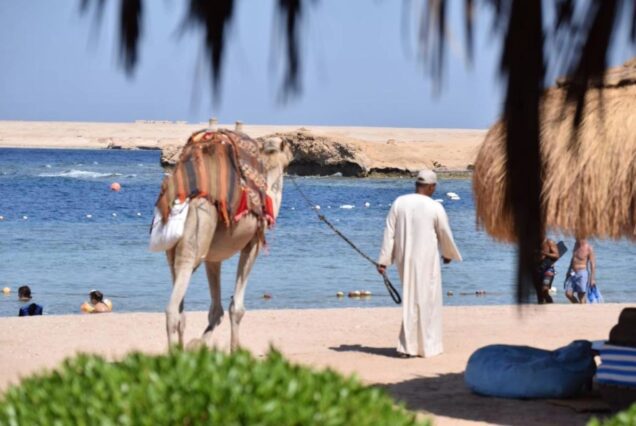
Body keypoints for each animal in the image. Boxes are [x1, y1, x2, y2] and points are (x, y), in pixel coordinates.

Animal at [164, 133, 294, 350]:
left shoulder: (213, 258)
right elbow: (237, 308)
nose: (293, 155)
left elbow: (216, 310)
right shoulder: (253, 243)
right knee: (172, 309)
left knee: (181, 311)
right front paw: (234, 351)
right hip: (194, 243)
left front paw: (198, 346)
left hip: (173, 252)